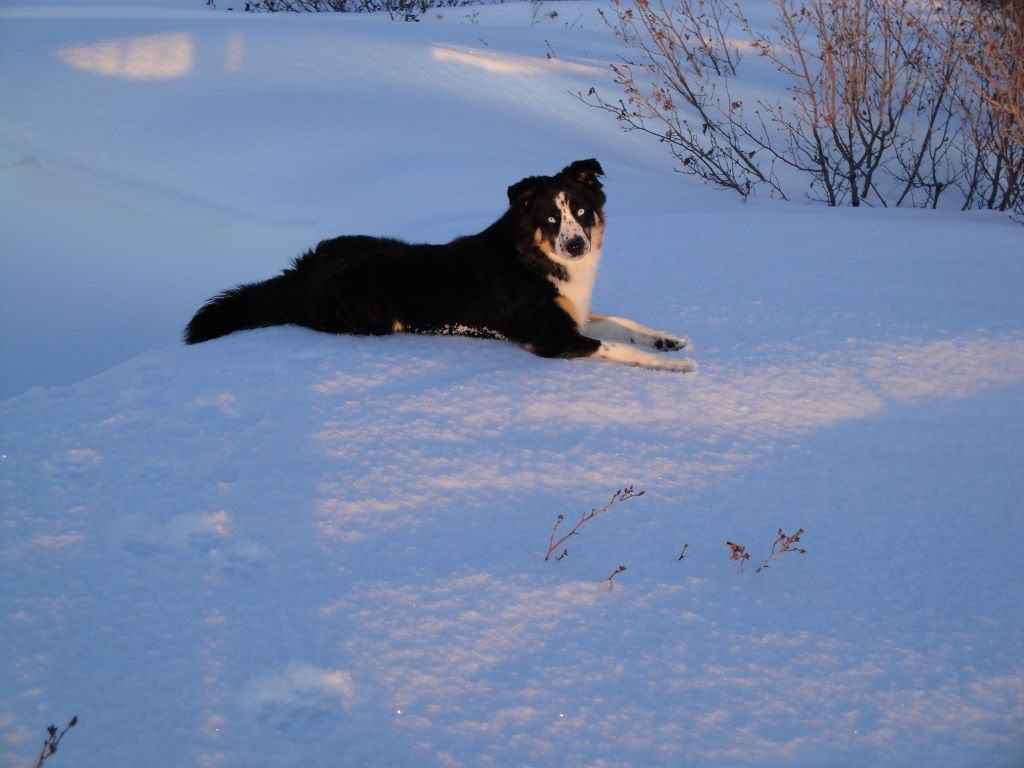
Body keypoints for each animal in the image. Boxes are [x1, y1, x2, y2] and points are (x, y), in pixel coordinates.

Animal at [185, 158, 696, 372]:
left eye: (583, 212)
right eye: (551, 219)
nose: (574, 245)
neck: (533, 258)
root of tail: (306, 272)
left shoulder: (576, 313)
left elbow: (623, 324)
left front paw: (667, 340)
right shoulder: (550, 337)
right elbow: (612, 347)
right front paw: (669, 366)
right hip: (377, 316)